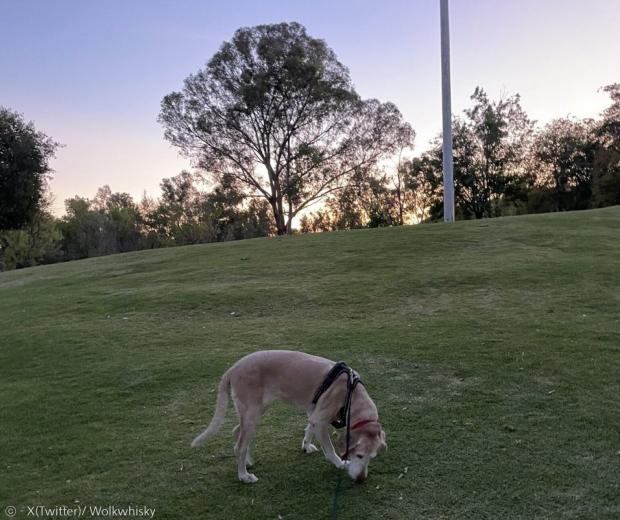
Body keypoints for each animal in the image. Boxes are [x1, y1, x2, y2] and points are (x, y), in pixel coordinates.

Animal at [193, 350, 388, 484]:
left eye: (372, 457)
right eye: (360, 456)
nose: (361, 479)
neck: (351, 394)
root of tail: (232, 369)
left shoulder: (314, 414)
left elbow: (309, 429)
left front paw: (306, 445)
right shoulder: (320, 419)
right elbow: (330, 449)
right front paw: (340, 463)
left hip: (255, 412)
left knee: (236, 433)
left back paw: (247, 462)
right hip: (252, 414)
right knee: (239, 446)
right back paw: (243, 475)